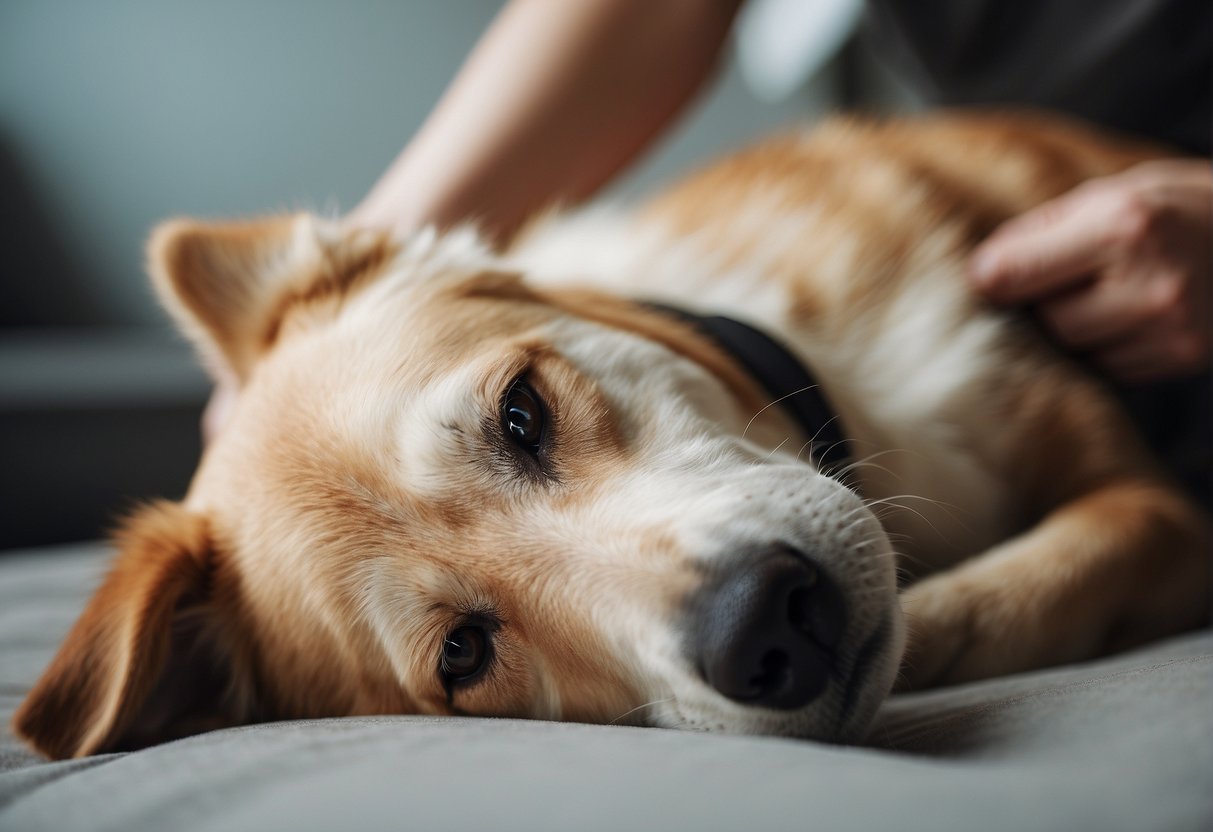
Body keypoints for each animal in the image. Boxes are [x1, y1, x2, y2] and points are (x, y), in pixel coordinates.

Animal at [11, 112, 1213, 761]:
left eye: (522, 413)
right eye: (462, 654)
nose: (767, 629)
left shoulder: (1145, 492)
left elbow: (1067, 558)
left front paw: (946, 611)